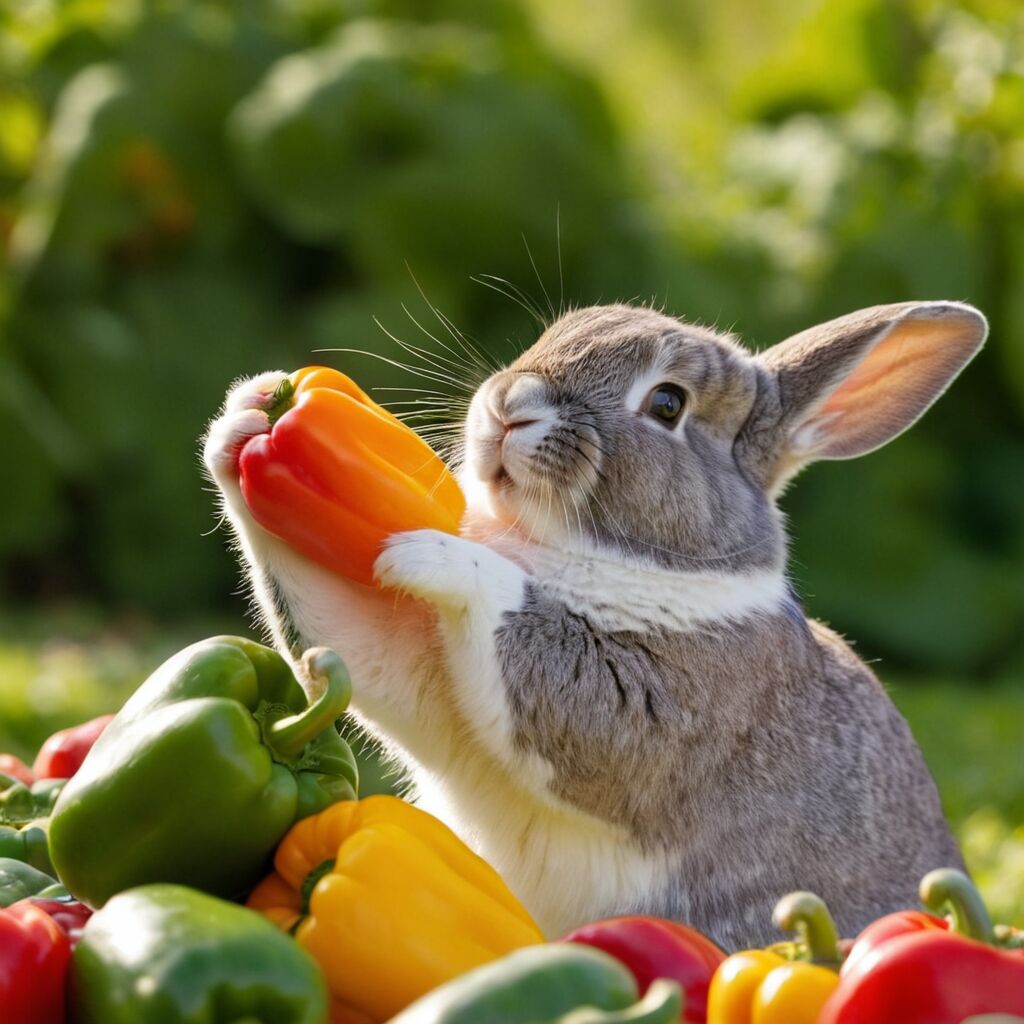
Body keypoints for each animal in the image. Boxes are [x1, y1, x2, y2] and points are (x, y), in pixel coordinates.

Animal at [201, 299, 983, 946]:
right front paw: (244, 417)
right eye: (559, 329)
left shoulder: (649, 710)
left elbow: (521, 627)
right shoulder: (422, 688)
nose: (511, 405)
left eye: (668, 403)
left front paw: (429, 553)